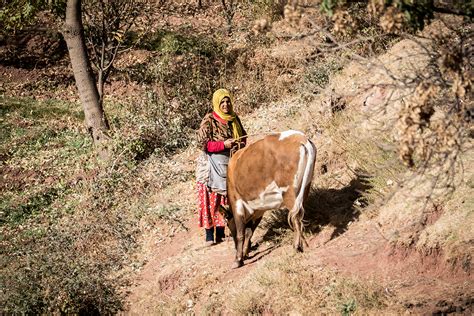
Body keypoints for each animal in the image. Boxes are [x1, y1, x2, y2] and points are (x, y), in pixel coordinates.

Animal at [225, 130, 316, 268]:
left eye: (229, 227)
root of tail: (300, 137)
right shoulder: (259, 210)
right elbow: (249, 232)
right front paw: (245, 252)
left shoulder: (237, 203)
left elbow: (241, 233)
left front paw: (238, 259)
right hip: (305, 187)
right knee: (299, 215)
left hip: (288, 192)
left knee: (295, 217)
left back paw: (297, 246)